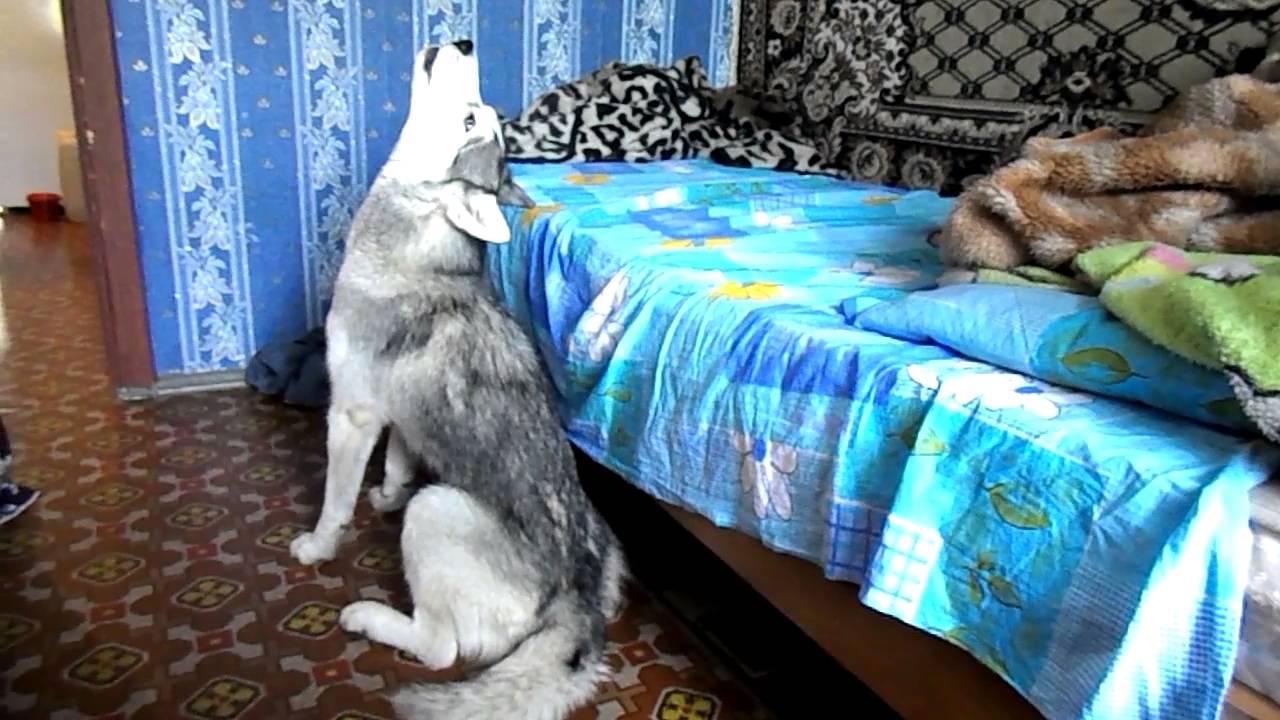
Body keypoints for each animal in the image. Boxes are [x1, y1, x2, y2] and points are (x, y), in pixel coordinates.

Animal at [288, 39, 626, 720]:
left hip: (436, 509)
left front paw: (319, 544)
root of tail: (576, 602)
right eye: (479, 115)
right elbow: (398, 459)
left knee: (440, 647)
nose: (465, 42)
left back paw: (370, 617)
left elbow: (335, 499)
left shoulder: (352, 414)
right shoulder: (398, 415)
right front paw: (385, 492)